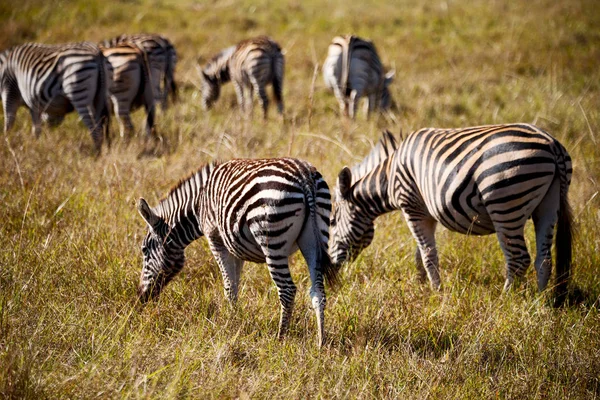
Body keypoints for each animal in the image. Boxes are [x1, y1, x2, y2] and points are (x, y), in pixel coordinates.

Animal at [135, 158, 338, 346]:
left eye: (144, 250)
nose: (141, 297)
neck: (199, 203)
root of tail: (304, 176)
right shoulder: (235, 246)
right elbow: (234, 286)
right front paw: (236, 320)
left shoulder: (215, 238)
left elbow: (228, 286)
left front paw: (229, 325)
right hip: (316, 236)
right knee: (318, 291)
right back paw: (321, 342)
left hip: (273, 239)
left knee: (287, 290)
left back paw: (281, 339)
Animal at [330, 123, 576, 304]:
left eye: (332, 221)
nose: (330, 269)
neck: (389, 177)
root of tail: (551, 143)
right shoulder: (427, 212)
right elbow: (420, 252)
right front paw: (422, 284)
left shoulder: (412, 206)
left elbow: (428, 254)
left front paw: (436, 292)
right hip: (548, 205)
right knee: (544, 259)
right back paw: (541, 303)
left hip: (505, 203)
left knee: (518, 259)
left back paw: (504, 301)